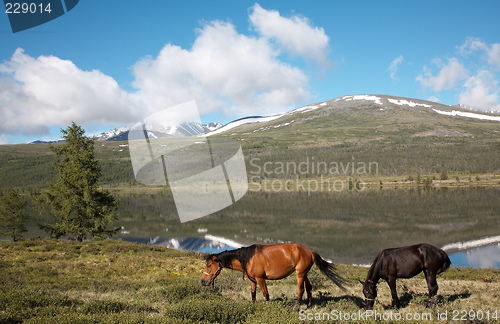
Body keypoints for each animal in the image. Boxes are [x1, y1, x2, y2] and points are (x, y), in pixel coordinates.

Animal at [201, 243, 346, 306]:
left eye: (209, 265)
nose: (203, 281)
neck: (248, 258)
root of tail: (310, 251)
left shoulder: (261, 279)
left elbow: (266, 295)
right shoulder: (252, 280)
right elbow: (253, 294)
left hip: (300, 274)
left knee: (301, 289)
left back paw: (298, 307)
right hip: (305, 273)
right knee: (309, 288)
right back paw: (309, 305)